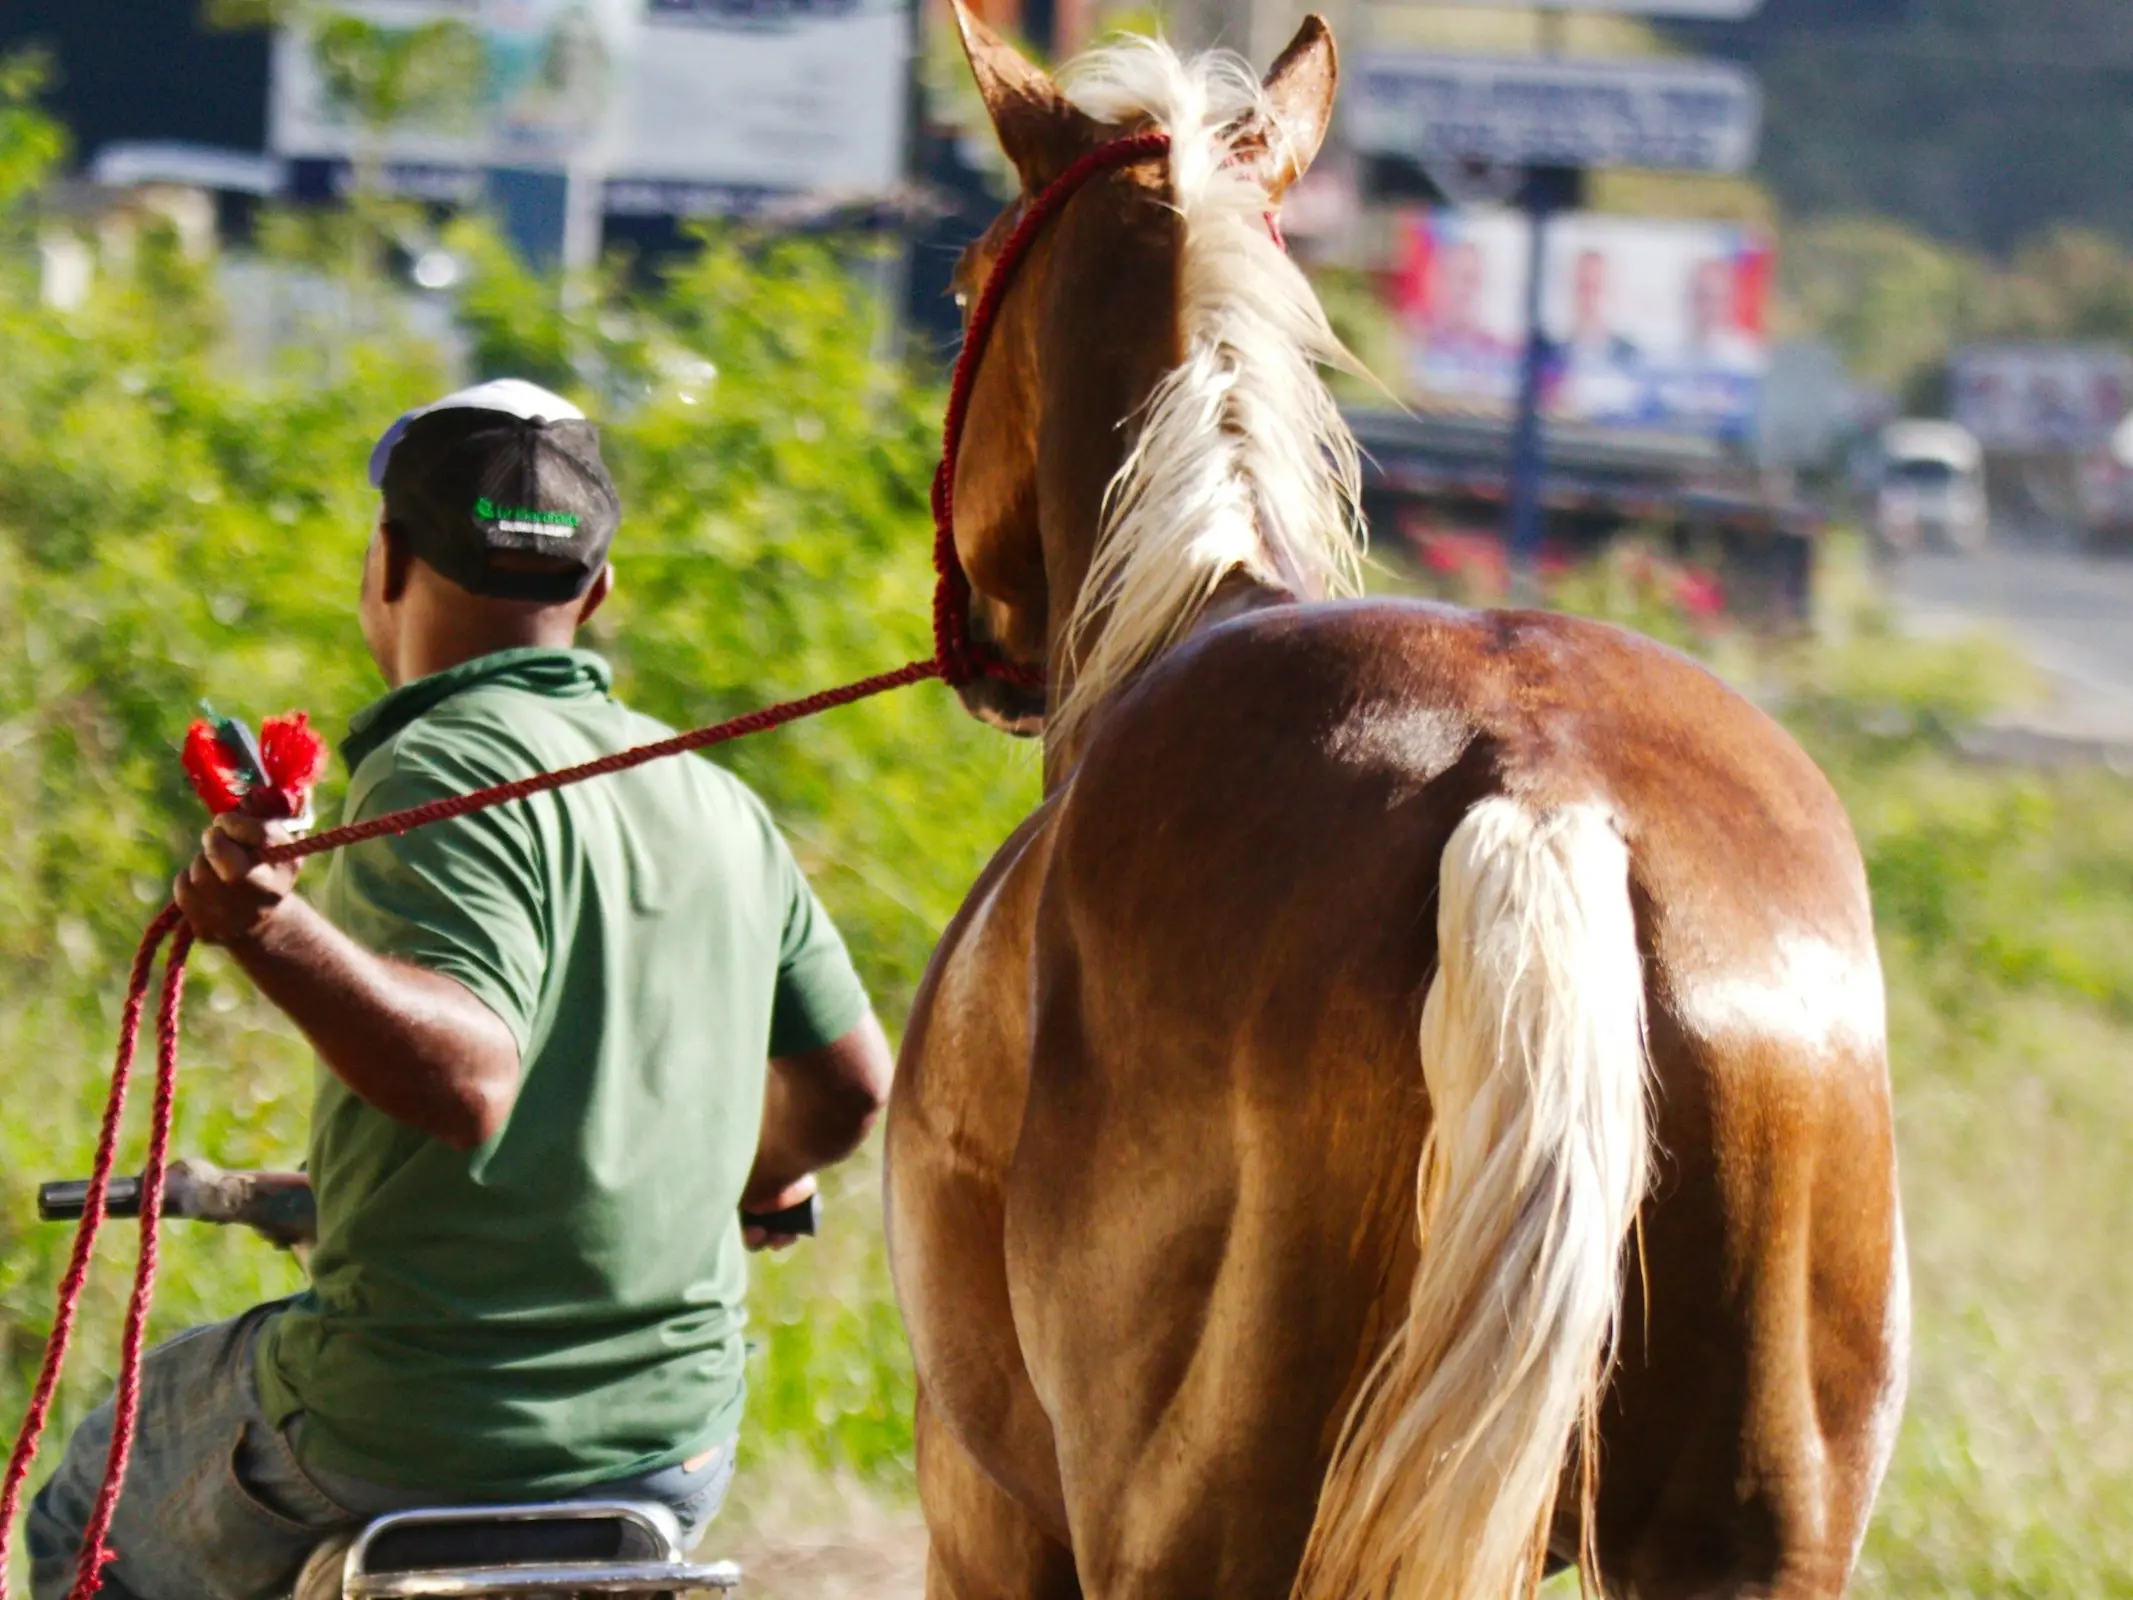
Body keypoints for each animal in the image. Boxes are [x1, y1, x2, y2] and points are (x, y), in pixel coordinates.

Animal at [874, 9, 1911, 1595]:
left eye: (967, 270)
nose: (984, 637)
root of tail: (1538, 788)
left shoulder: (980, 1505)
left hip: (1189, 1533)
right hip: (1752, 1540)